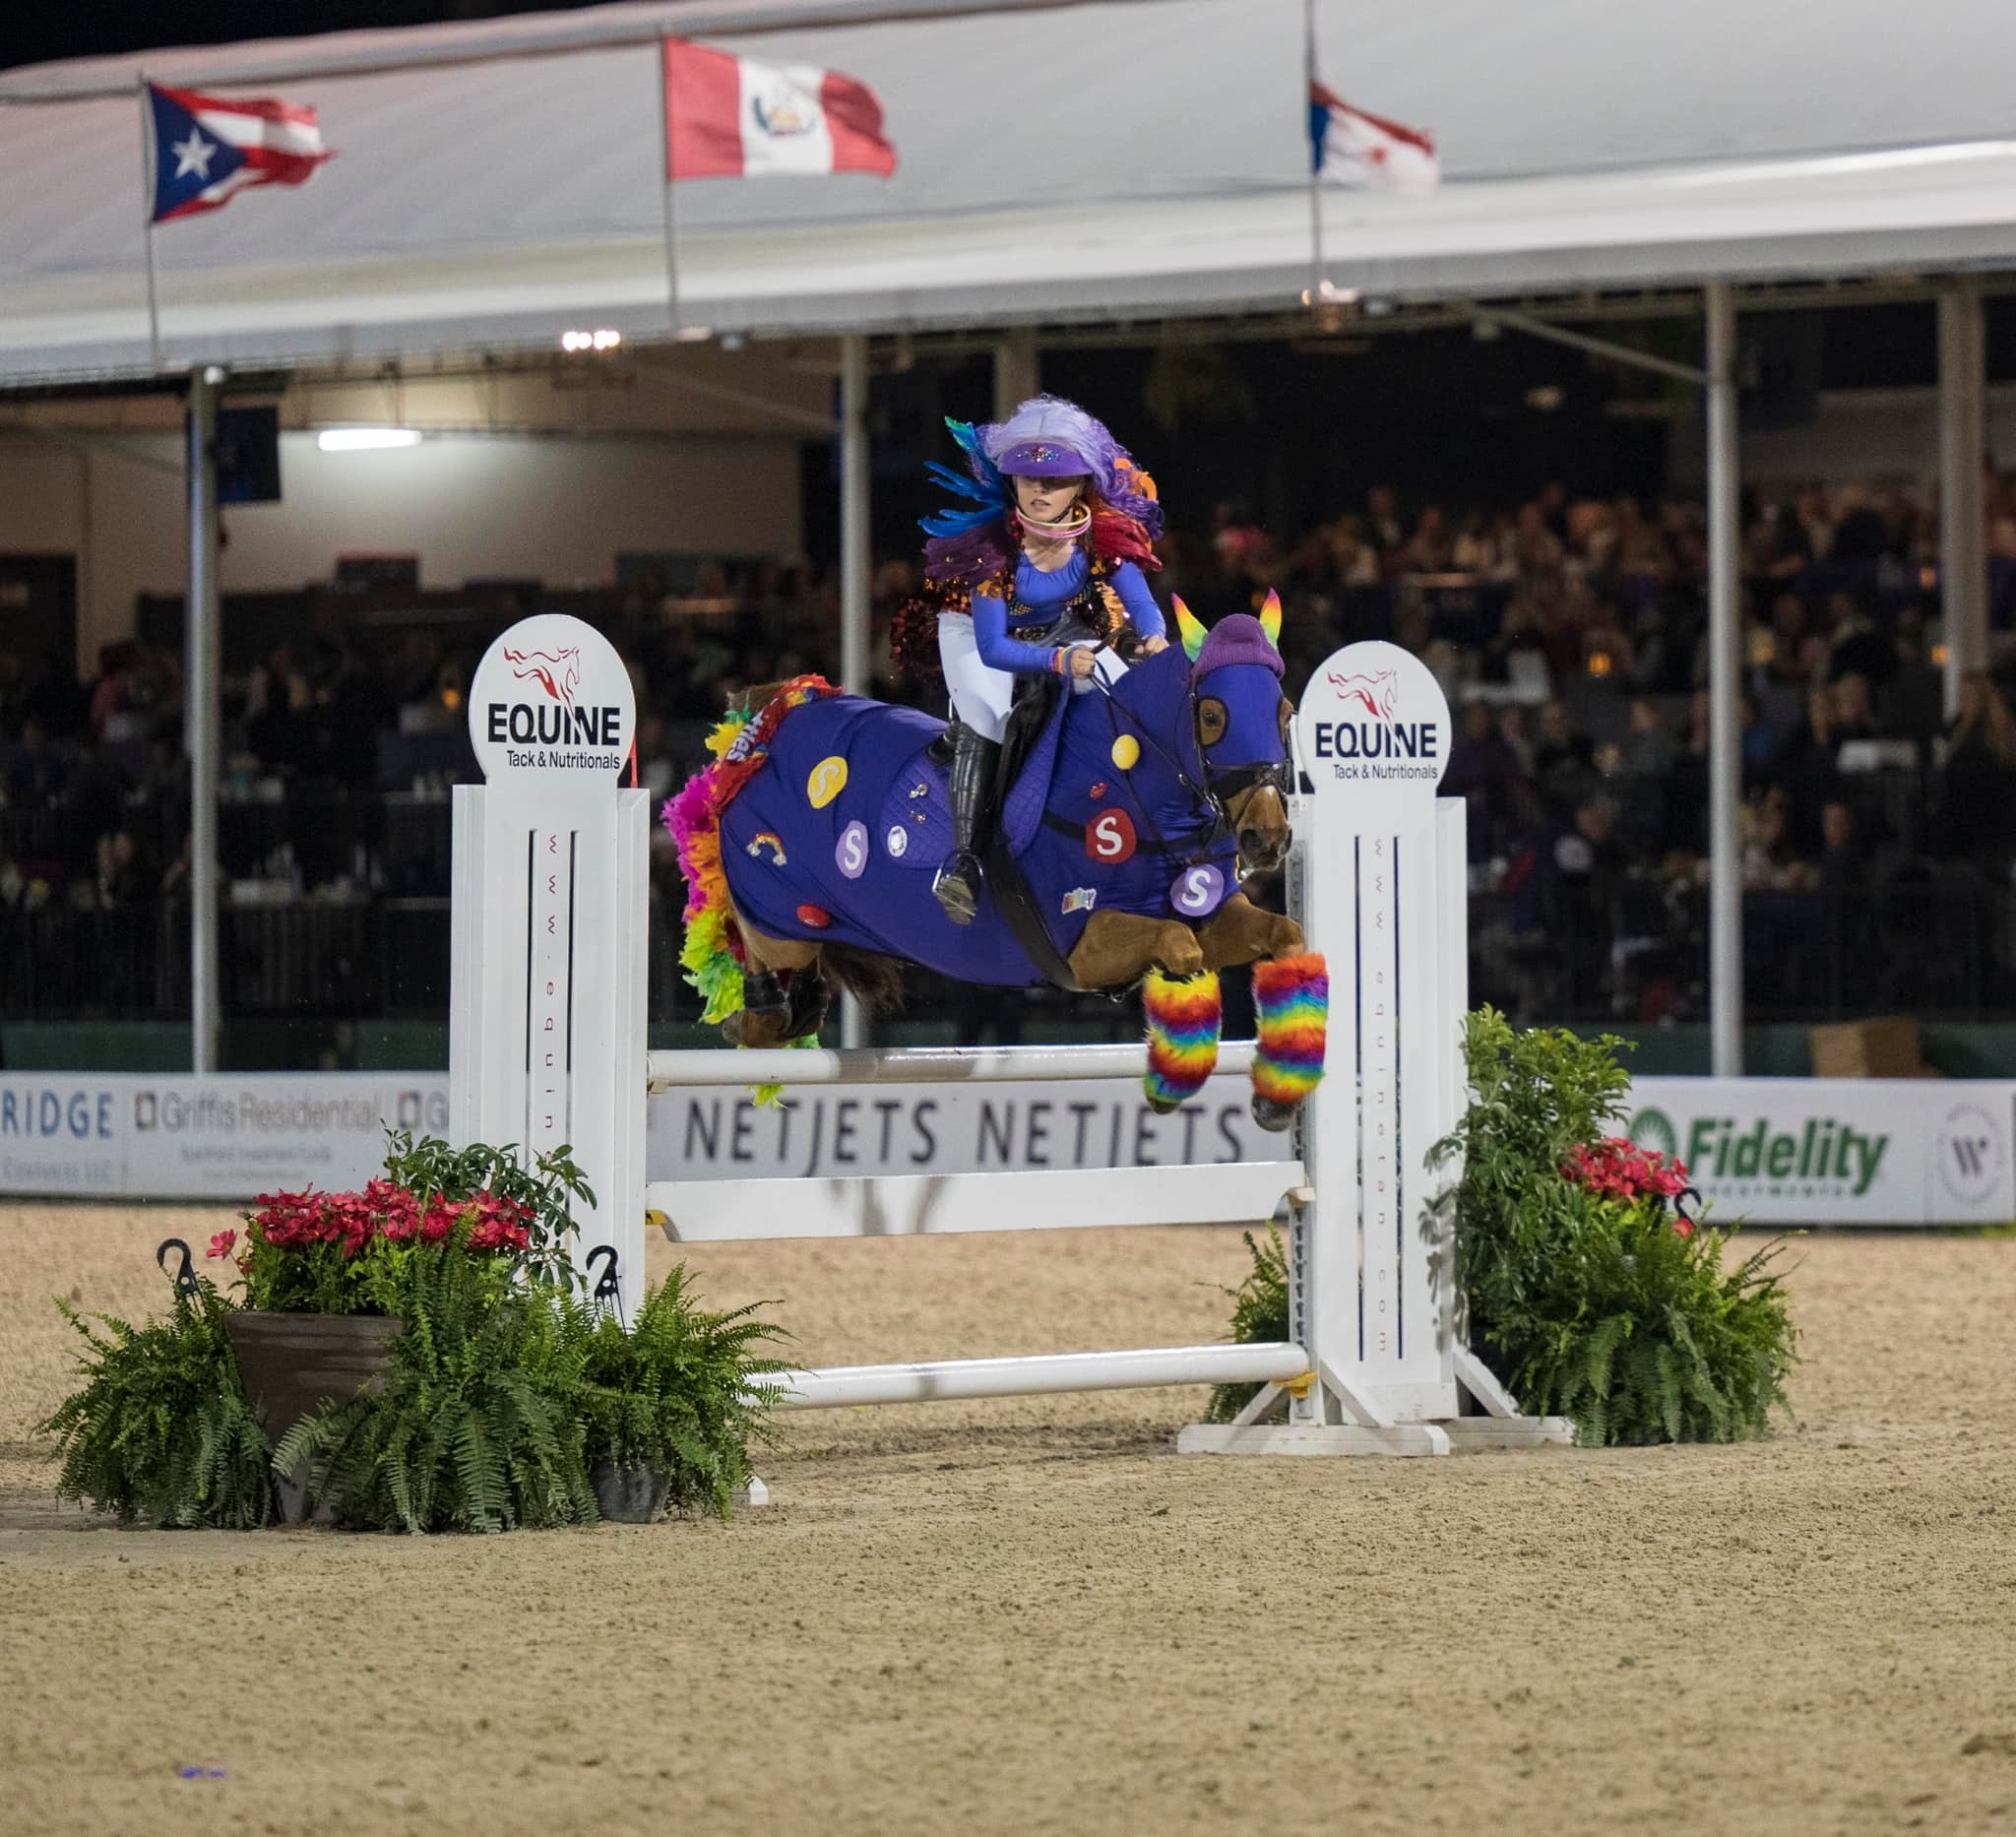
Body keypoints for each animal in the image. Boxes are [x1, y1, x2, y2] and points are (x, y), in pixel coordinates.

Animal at [668, 597, 1330, 1129]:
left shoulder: (1207, 914)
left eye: (1284, 711)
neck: (1124, 778)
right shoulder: (1080, 946)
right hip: (774, 903)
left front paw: (1275, 1098)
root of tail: (776, 715)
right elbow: (1180, 950)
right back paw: (754, 1016)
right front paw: (1172, 1085)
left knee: (801, 989)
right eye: (1212, 716)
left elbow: (1284, 936)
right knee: (757, 954)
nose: (1267, 838)